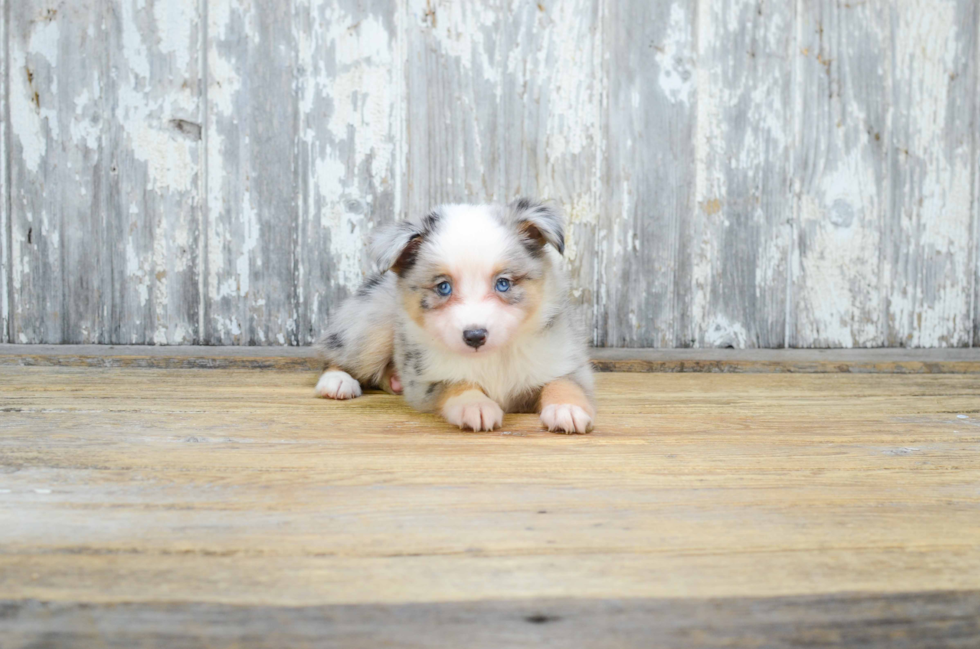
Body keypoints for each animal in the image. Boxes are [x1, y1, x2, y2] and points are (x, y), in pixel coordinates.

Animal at [314, 195, 592, 432]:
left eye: (503, 283)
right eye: (443, 287)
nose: (475, 336)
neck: (494, 356)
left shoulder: (566, 360)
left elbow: (564, 383)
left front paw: (567, 409)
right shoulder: (427, 380)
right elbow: (457, 383)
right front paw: (475, 405)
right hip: (373, 326)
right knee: (334, 353)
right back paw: (337, 381)